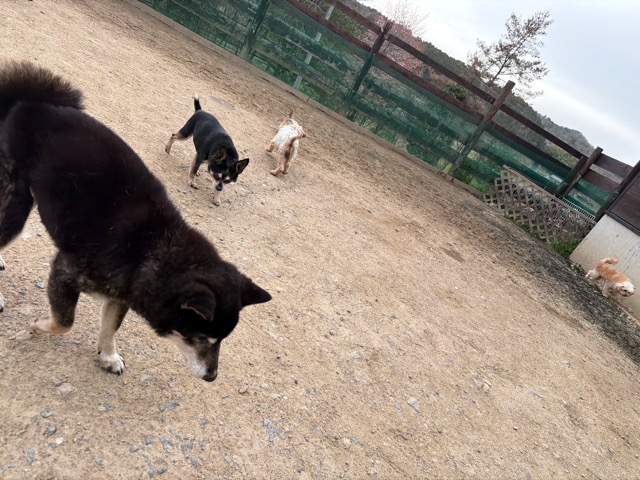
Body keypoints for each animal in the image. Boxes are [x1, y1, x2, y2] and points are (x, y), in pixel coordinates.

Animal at [0, 61, 271, 381]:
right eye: (201, 338)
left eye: (222, 341)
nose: (211, 376)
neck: (152, 248)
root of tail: (28, 102)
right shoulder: (65, 271)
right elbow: (65, 323)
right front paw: (37, 325)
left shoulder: (121, 295)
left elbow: (109, 328)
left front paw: (108, 356)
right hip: (16, 204)